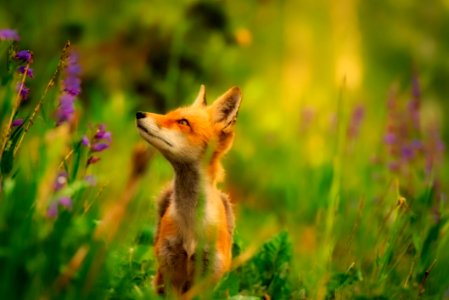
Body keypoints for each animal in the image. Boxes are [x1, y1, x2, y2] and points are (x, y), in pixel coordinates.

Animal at [136, 85, 242, 296]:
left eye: (183, 122)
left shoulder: (209, 276)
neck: (191, 225)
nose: (139, 113)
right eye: (168, 114)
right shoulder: (171, 270)